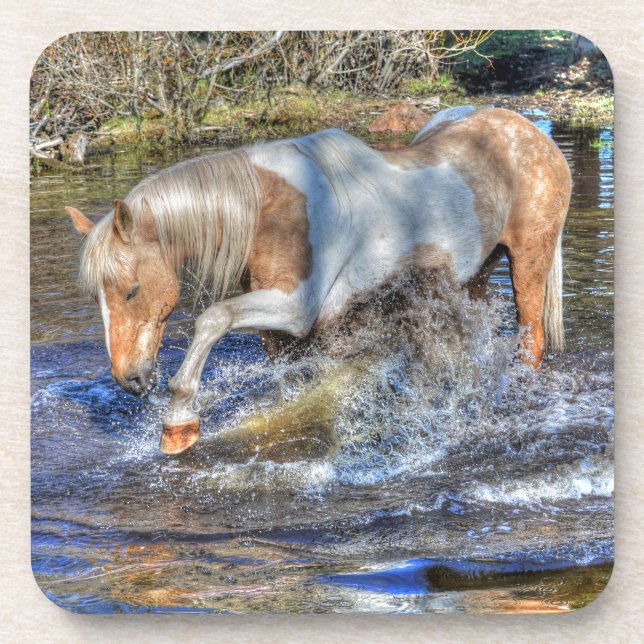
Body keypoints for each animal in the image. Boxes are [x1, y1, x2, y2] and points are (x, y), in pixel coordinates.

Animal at [66, 106, 572, 455]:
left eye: (131, 289)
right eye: (96, 298)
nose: (130, 379)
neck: (273, 210)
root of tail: (531, 131)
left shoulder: (295, 309)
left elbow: (213, 318)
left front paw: (179, 423)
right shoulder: (282, 331)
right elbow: (295, 390)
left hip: (529, 261)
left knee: (531, 339)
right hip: (473, 276)